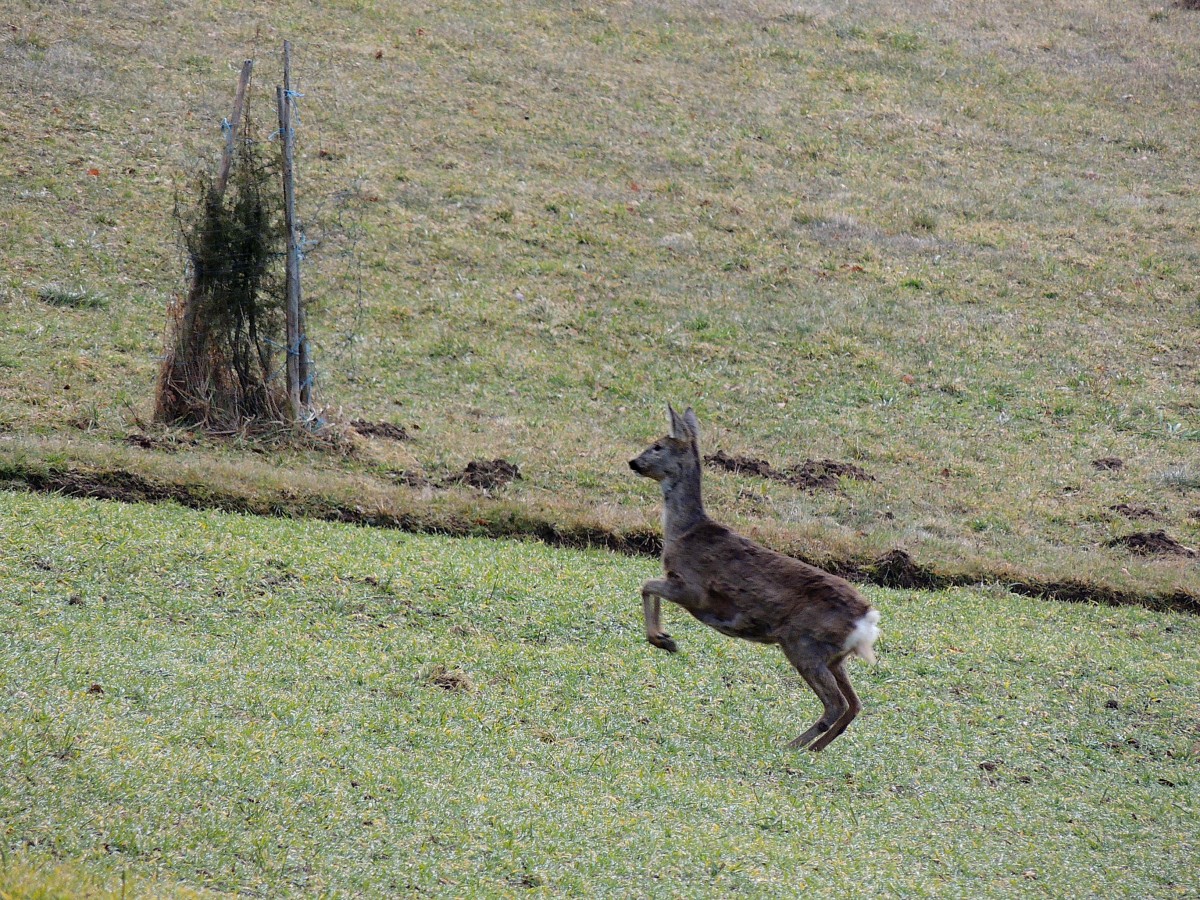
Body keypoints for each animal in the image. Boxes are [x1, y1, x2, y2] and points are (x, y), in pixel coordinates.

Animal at [633, 405, 878, 748]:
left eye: (657, 446)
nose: (633, 462)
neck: (682, 533)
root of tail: (867, 619)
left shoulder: (693, 589)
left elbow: (646, 585)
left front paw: (663, 640)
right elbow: (648, 587)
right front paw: (665, 637)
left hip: (803, 644)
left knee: (836, 704)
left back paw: (792, 747)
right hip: (833, 656)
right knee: (854, 704)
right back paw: (813, 749)